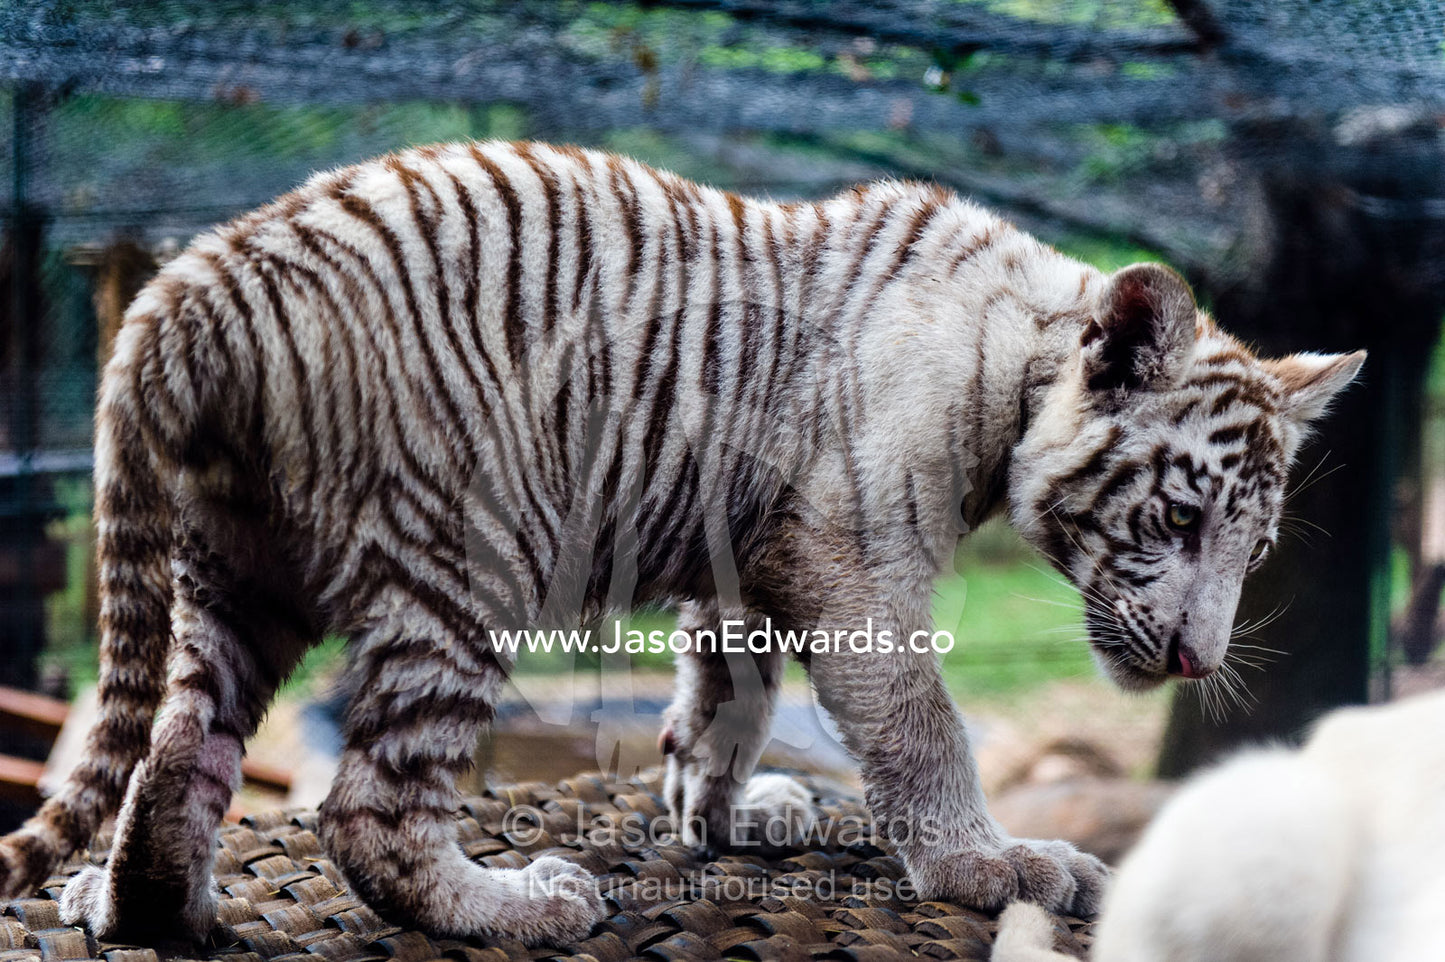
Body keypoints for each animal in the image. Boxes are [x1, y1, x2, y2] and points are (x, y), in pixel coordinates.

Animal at [0, 140, 1362, 947]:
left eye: (1249, 548)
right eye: (1175, 519)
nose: (1195, 662)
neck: (1014, 363)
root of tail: (196, 277)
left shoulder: (747, 560)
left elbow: (728, 697)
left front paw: (721, 811)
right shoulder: (854, 559)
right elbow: (922, 724)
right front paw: (994, 866)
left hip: (234, 570)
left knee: (177, 749)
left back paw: (148, 905)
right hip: (468, 549)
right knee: (367, 808)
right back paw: (518, 904)